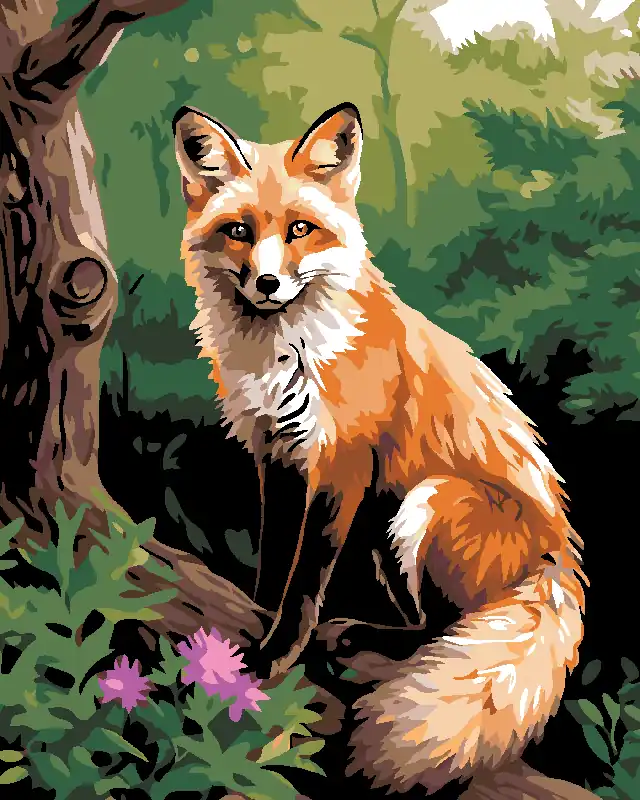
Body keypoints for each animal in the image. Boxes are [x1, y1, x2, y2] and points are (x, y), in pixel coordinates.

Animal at [172, 102, 587, 794]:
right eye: (238, 230)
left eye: (300, 229)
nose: (267, 282)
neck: (286, 353)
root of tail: (560, 557)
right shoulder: (278, 458)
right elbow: (274, 561)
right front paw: (253, 618)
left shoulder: (339, 464)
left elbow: (305, 583)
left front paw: (276, 655)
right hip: (381, 520)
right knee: (424, 625)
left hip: (425, 500)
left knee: (442, 630)